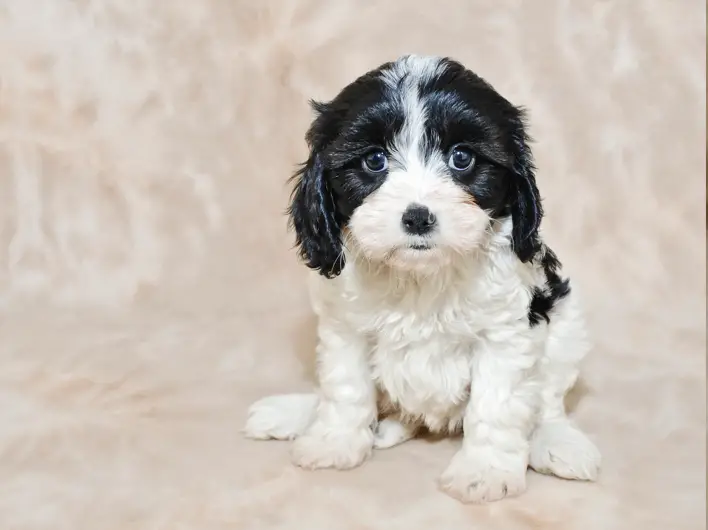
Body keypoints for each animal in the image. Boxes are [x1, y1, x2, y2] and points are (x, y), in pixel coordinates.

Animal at [245, 55, 604, 502]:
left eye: (462, 158)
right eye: (374, 160)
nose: (417, 217)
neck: (421, 275)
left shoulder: (506, 333)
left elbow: (497, 405)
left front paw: (484, 471)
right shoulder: (345, 328)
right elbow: (345, 387)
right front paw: (334, 441)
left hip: (566, 323)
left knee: (550, 399)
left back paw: (555, 440)